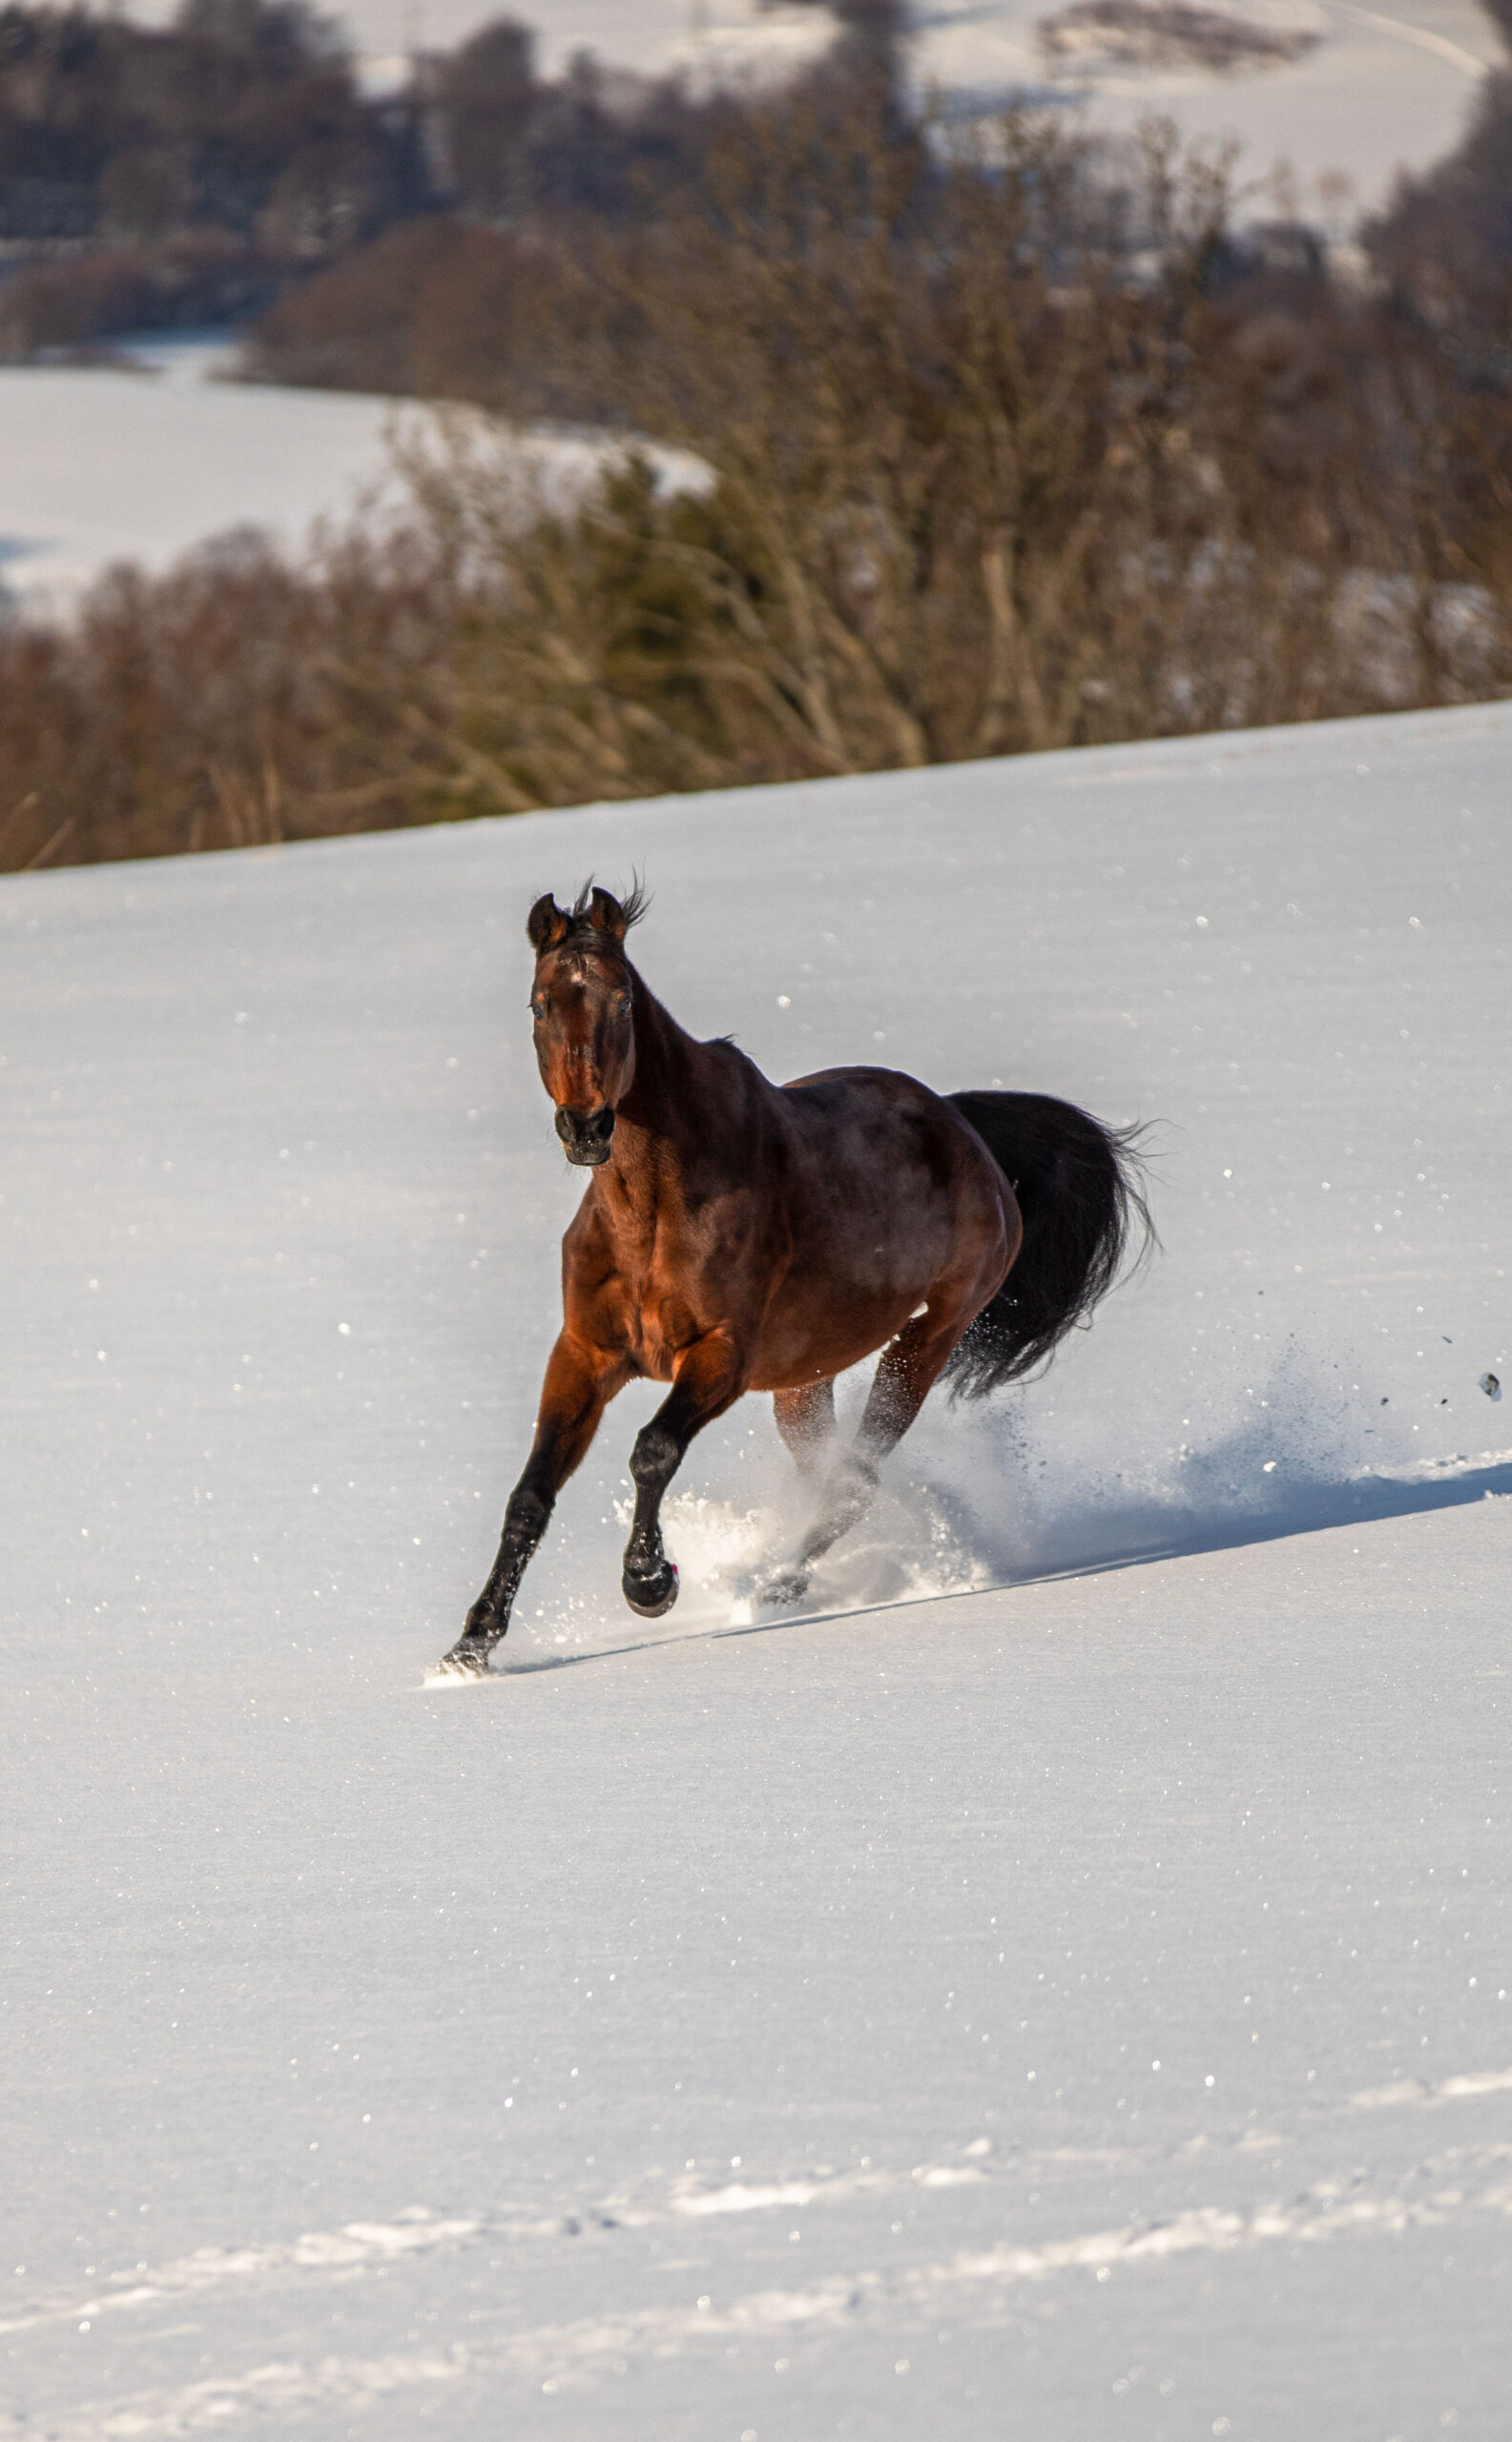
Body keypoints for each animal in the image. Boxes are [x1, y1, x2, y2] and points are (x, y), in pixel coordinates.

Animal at [432, 883, 1152, 1680]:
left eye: (621, 1000)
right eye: (538, 1005)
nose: (586, 1128)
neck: (650, 1213)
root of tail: (966, 1131)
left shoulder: (720, 1356)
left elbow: (652, 1451)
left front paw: (650, 1584)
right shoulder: (585, 1356)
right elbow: (530, 1496)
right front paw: (471, 1645)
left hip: (926, 1338)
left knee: (853, 1480)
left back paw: (776, 1585)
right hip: (802, 1381)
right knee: (831, 1474)